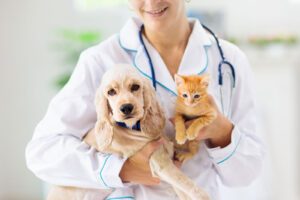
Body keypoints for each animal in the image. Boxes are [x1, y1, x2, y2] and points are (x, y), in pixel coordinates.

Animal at [48, 64, 210, 200]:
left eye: (135, 87)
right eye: (111, 92)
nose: (126, 108)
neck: (134, 127)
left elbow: (185, 190)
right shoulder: (161, 165)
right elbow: (195, 189)